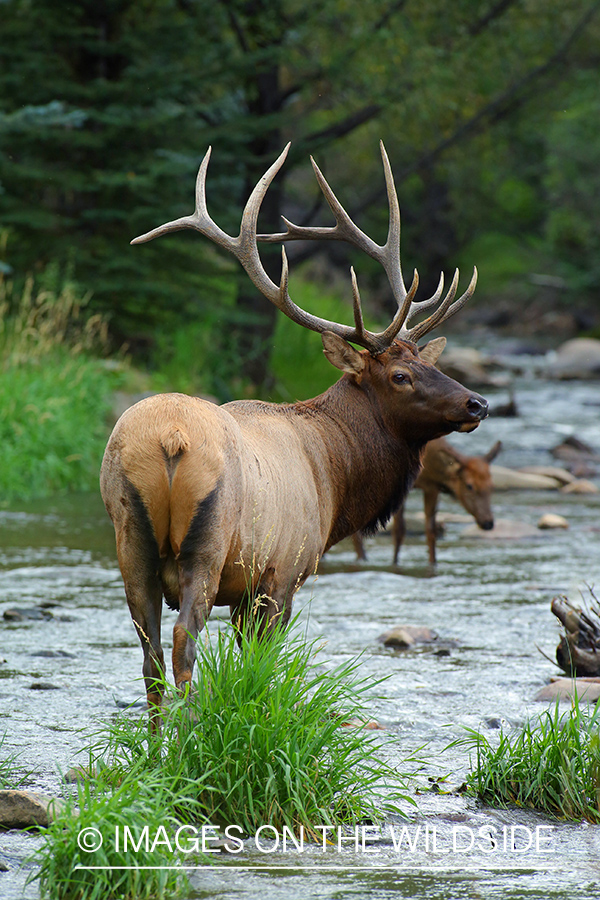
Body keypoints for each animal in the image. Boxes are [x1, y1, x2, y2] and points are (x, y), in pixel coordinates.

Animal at [352, 434, 502, 564]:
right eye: (469, 486)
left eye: (492, 485)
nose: (488, 523)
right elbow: (399, 530)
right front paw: (394, 563)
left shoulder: (432, 487)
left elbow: (431, 530)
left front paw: (433, 563)